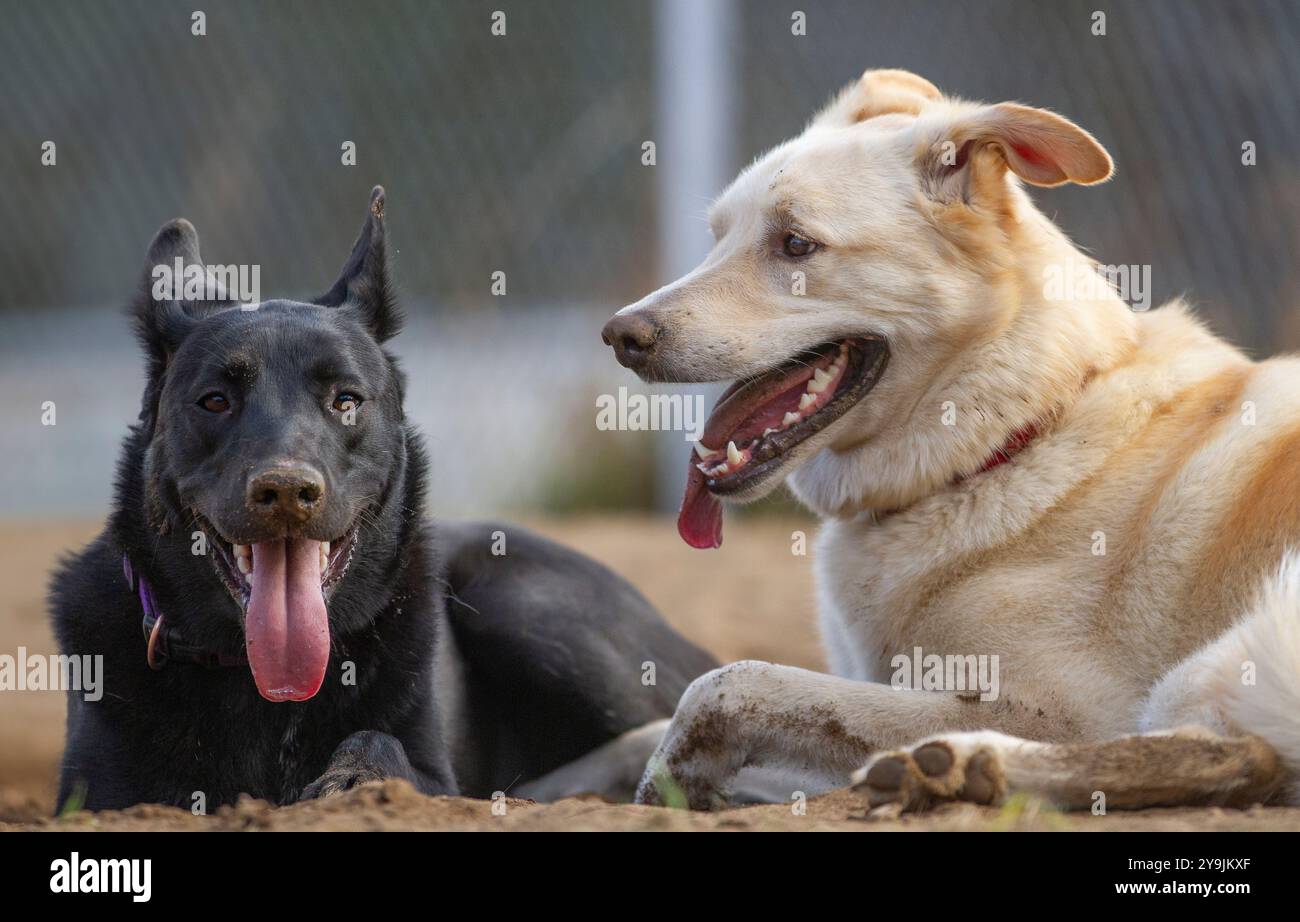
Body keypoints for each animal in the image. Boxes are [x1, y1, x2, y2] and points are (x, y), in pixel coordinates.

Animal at [48, 188, 712, 811]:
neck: (260, 680)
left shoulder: (440, 778)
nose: (285, 490)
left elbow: (380, 743)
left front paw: (353, 777)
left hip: (530, 606)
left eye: (346, 400)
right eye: (215, 400)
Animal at [600, 68, 1300, 811]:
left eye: (794, 244)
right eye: (716, 236)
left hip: (1228, 656)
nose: (621, 335)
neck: (1010, 441)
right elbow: (648, 727)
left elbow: (728, 684)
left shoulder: (1057, 708)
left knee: (1242, 756)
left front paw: (673, 781)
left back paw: (958, 765)